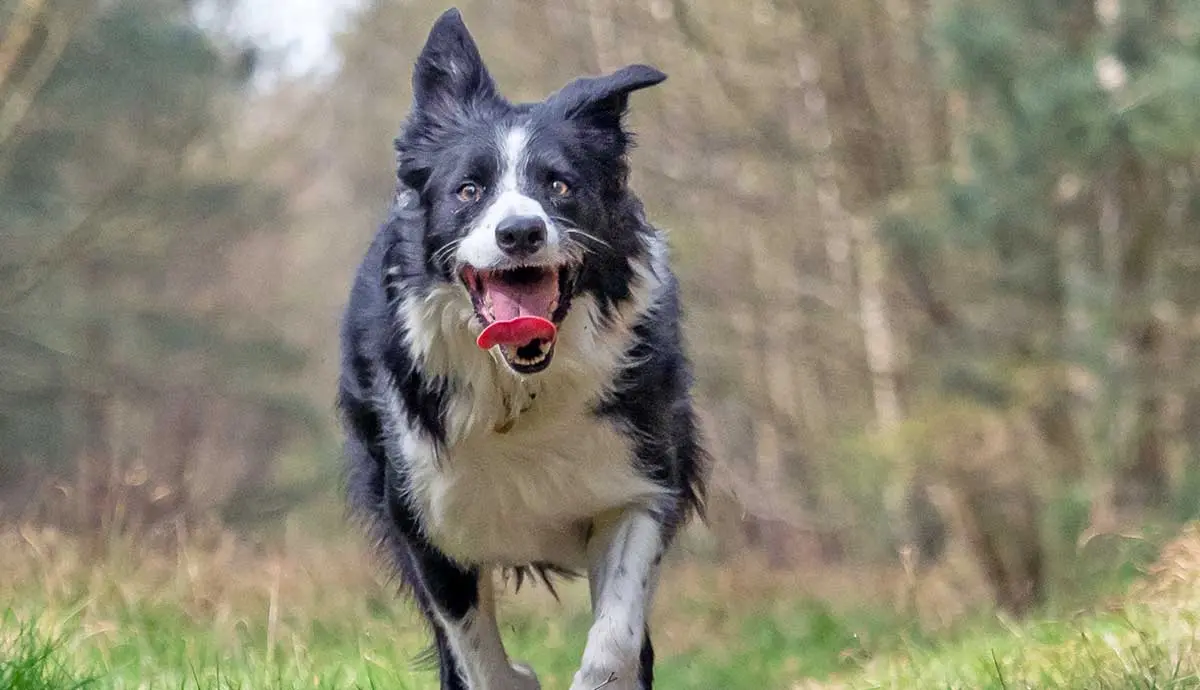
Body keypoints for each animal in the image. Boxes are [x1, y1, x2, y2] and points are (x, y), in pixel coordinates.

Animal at [338, 9, 705, 690]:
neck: (520, 387)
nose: (519, 232)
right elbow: (477, 655)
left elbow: (614, 640)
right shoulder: (424, 521)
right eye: (468, 190)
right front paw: (514, 673)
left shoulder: (637, 484)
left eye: (559, 184)